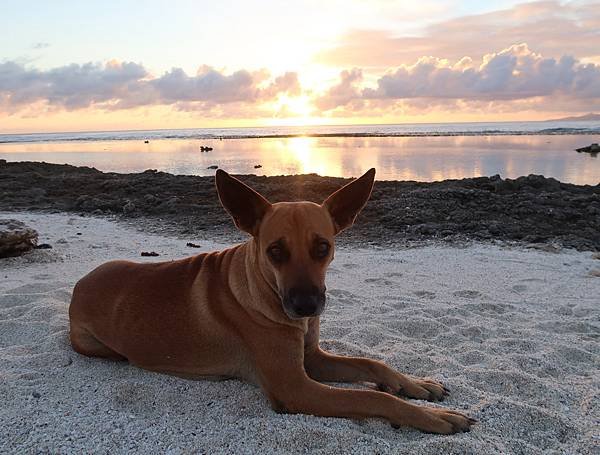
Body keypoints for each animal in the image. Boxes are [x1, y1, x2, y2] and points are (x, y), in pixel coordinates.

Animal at [69, 168, 474, 434]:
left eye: (322, 247)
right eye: (275, 251)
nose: (306, 307)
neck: (260, 289)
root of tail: (79, 285)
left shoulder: (312, 359)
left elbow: (371, 363)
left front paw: (415, 385)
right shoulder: (295, 388)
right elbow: (375, 400)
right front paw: (433, 418)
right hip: (96, 346)